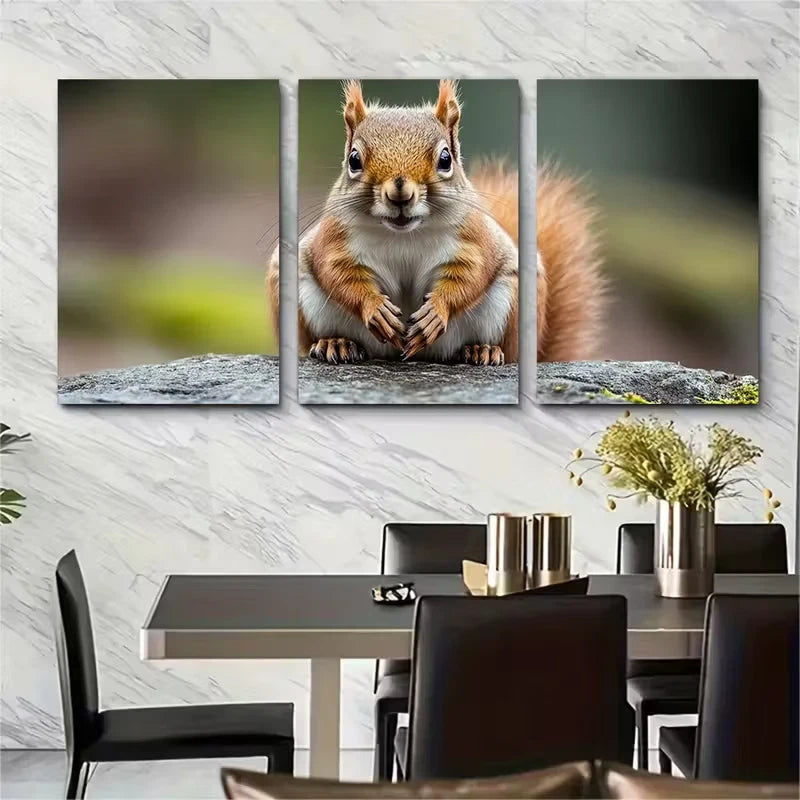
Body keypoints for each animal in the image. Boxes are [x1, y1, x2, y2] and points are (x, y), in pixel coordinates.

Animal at [267, 80, 602, 365]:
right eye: (354, 160)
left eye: (445, 159)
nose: (400, 192)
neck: (403, 234)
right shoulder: (335, 239)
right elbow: (339, 274)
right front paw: (375, 308)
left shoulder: (474, 240)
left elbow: (470, 276)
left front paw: (436, 312)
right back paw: (335, 343)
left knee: (502, 348)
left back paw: (481, 349)